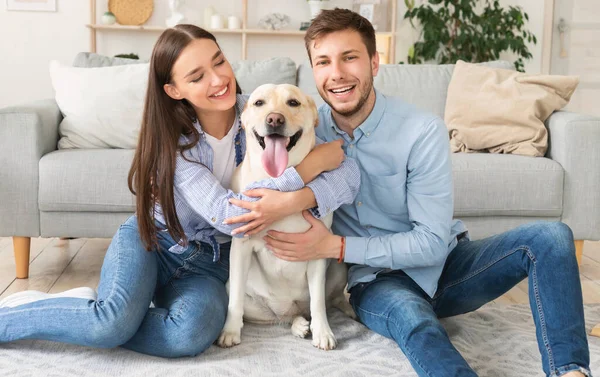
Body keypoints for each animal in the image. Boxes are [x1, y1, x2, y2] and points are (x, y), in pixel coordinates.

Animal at [218, 83, 354, 348]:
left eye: (293, 103)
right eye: (259, 103)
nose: (274, 119)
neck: (277, 181)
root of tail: (288, 308)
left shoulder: (317, 248)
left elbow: (318, 302)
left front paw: (323, 332)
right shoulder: (240, 248)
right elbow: (235, 301)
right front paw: (230, 331)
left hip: (339, 267)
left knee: (326, 302)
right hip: (246, 297)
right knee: (280, 318)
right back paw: (298, 325)